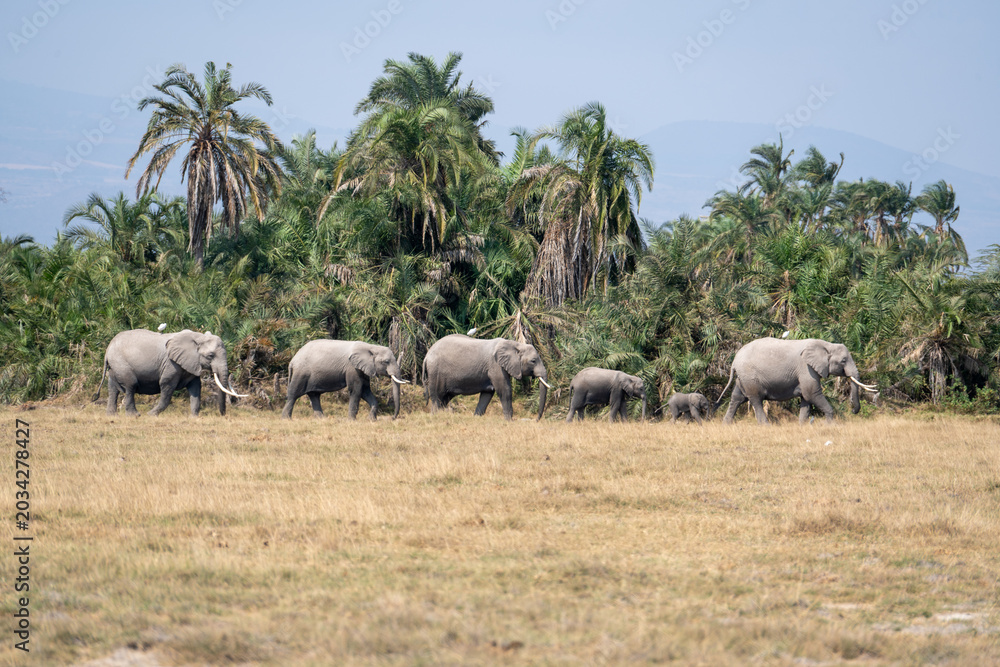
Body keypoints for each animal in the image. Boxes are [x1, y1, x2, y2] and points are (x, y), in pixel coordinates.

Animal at [96, 328, 246, 416]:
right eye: (210, 356)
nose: (222, 415)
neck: (198, 337)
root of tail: (108, 349)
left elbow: (195, 388)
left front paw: (194, 417)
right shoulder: (171, 364)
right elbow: (166, 386)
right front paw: (151, 415)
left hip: (115, 365)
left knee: (112, 388)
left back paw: (112, 416)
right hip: (121, 362)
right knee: (130, 385)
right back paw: (135, 416)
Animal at [422, 334, 551, 420]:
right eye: (533, 361)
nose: (535, 420)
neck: (515, 344)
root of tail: (427, 355)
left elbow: (487, 393)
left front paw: (476, 418)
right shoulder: (495, 366)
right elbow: (504, 390)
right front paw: (509, 421)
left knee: (444, 398)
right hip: (436, 372)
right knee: (437, 397)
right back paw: (436, 416)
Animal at [717, 337, 877, 424]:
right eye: (843, 360)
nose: (853, 410)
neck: (826, 344)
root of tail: (734, 361)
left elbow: (806, 398)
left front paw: (802, 426)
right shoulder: (806, 368)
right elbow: (812, 394)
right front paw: (831, 425)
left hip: (743, 377)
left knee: (737, 397)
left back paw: (726, 425)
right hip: (750, 376)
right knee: (755, 399)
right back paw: (766, 426)